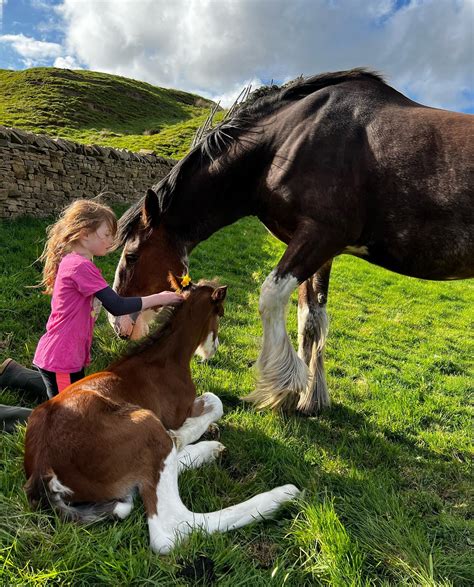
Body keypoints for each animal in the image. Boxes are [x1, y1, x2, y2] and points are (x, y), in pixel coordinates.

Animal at [24, 282, 298, 552]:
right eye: (220, 314)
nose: (215, 348)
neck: (165, 360)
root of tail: (42, 470)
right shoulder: (178, 410)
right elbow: (214, 401)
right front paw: (185, 433)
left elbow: (211, 402)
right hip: (146, 425)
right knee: (171, 529)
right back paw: (283, 495)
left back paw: (210, 449)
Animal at [112, 69, 474, 416]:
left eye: (132, 256)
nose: (117, 325)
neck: (288, 139)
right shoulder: (320, 251)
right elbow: (310, 318)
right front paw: (310, 397)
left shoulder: (319, 236)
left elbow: (271, 298)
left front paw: (284, 388)